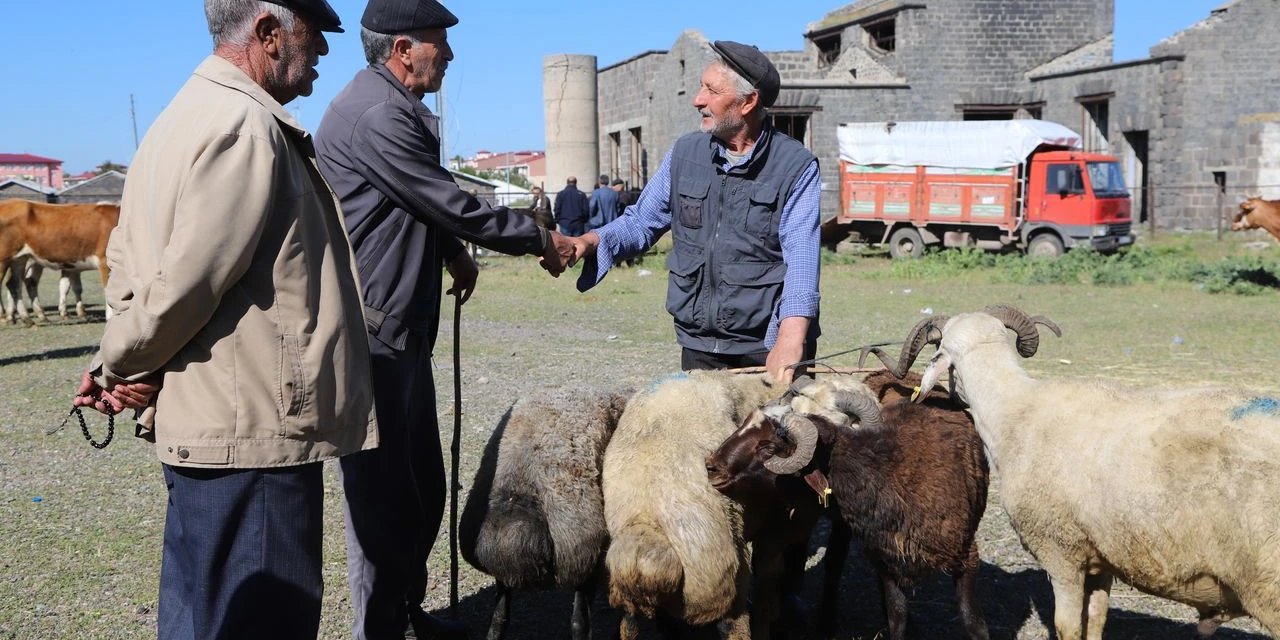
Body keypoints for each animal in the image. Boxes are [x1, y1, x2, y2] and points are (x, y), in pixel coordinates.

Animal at [706, 371, 993, 640]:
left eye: (768, 448)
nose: (711, 467)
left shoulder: (967, 556)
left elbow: (972, 621)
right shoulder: (885, 559)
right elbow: (897, 614)